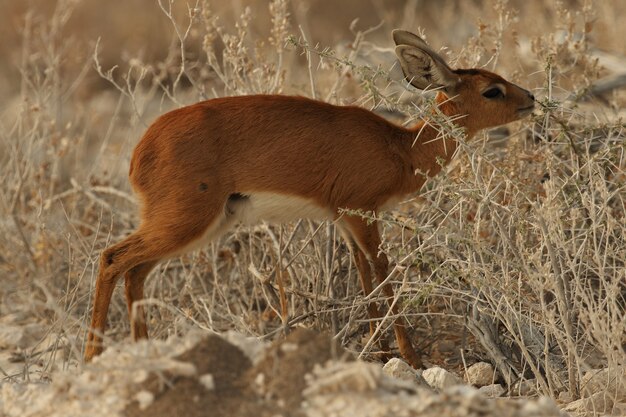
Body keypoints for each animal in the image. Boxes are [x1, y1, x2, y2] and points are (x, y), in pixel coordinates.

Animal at [81, 30, 532, 368]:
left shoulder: (346, 221)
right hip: (185, 221)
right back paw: (92, 357)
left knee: (136, 271)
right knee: (112, 257)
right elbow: (383, 274)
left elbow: (364, 277)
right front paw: (412, 358)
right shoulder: (365, 214)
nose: (531, 98)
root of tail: (141, 151)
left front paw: (380, 351)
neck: (401, 147)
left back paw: (142, 353)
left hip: (197, 225)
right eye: (492, 90)